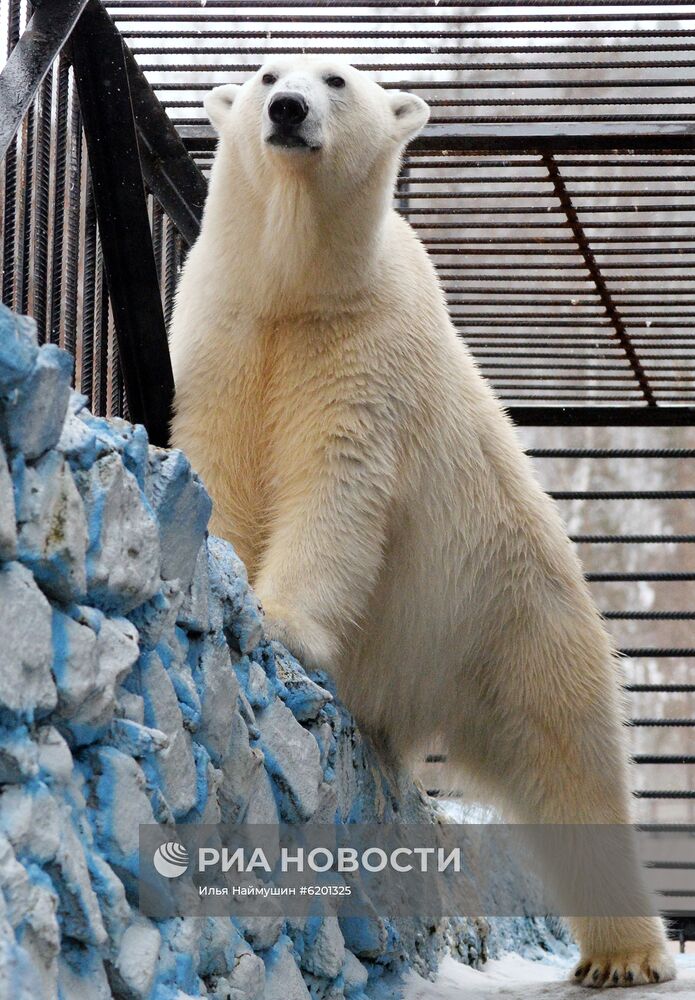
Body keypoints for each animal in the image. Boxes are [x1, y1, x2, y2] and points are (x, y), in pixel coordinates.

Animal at [171, 54, 676, 984]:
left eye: (336, 78)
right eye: (264, 73)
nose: (287, 109)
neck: (296, 289)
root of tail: (422, 696)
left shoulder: (366, 349)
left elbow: (337, 486)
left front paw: (281, 620)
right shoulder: (223, 334)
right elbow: (219, 461)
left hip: (512, 609)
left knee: (569, 759)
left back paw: (622, 957)